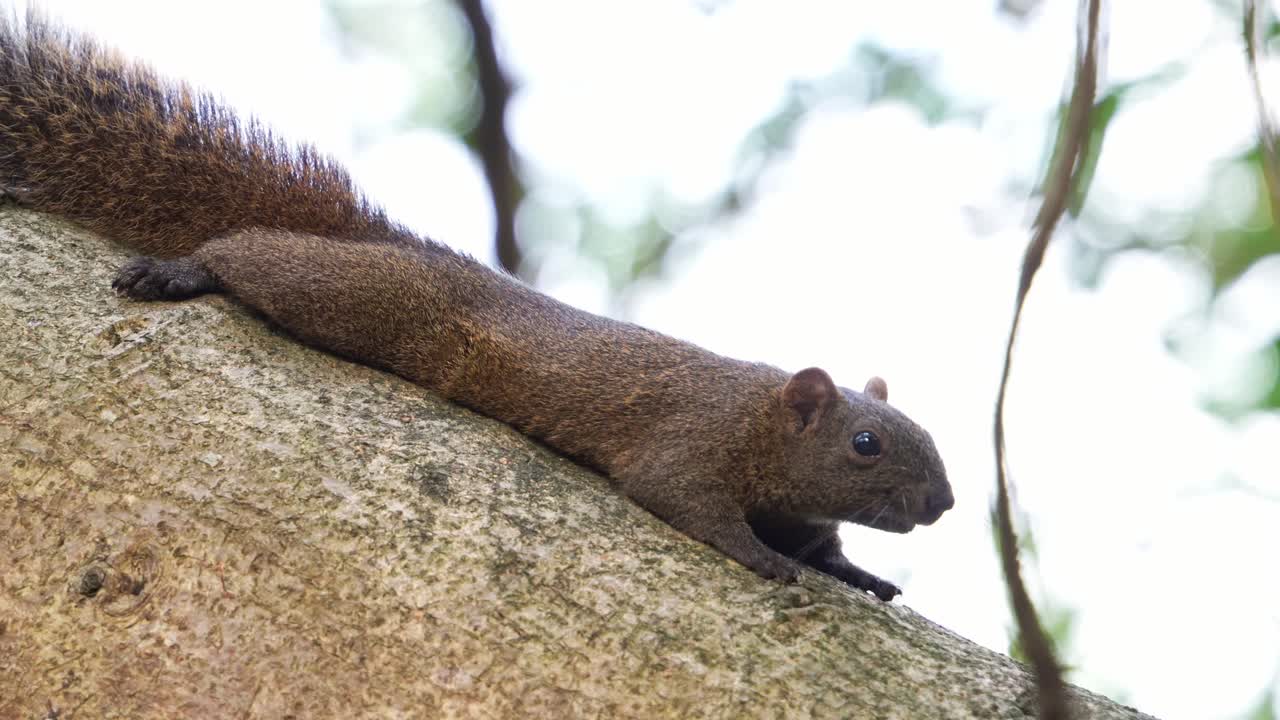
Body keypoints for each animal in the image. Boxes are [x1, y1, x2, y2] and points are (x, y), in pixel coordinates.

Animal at [0, 13, 952, 601]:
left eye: (928, 439)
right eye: (865, 444)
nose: (942, 504)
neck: (760, 421)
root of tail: (395, 247)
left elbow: (822, 546)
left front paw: (858, 572)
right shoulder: (692, 441)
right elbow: (688, 503)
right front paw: (761, 559)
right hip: (367, 298)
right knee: (250, 258)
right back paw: (183, 272)